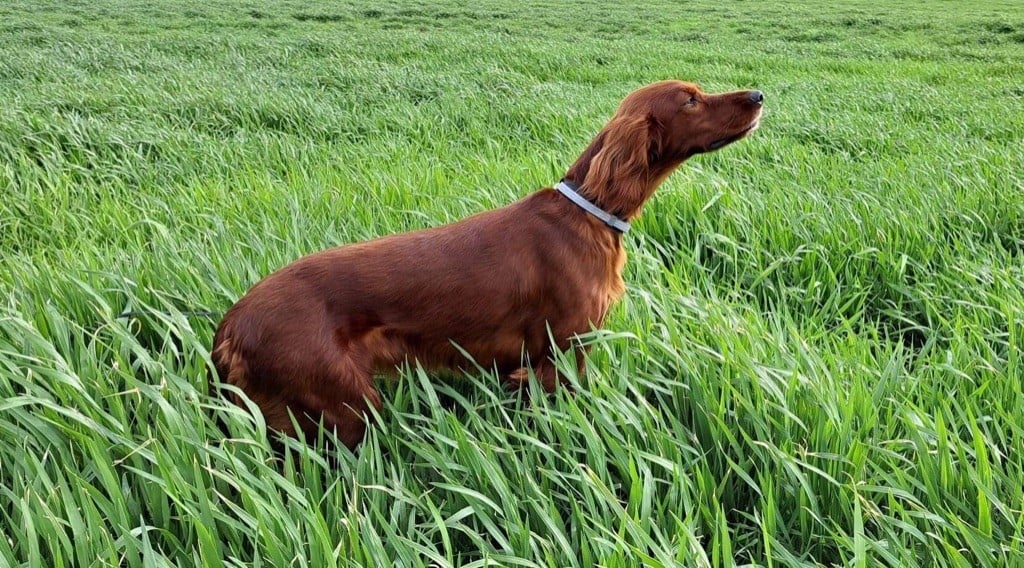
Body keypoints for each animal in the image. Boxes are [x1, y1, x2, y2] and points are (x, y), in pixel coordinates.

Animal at [214, 79, 761, 448]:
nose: (757, 95)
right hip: (343, 407)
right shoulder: (561, 356)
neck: (588, 213)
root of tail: (231, 327)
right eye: (690, 99)